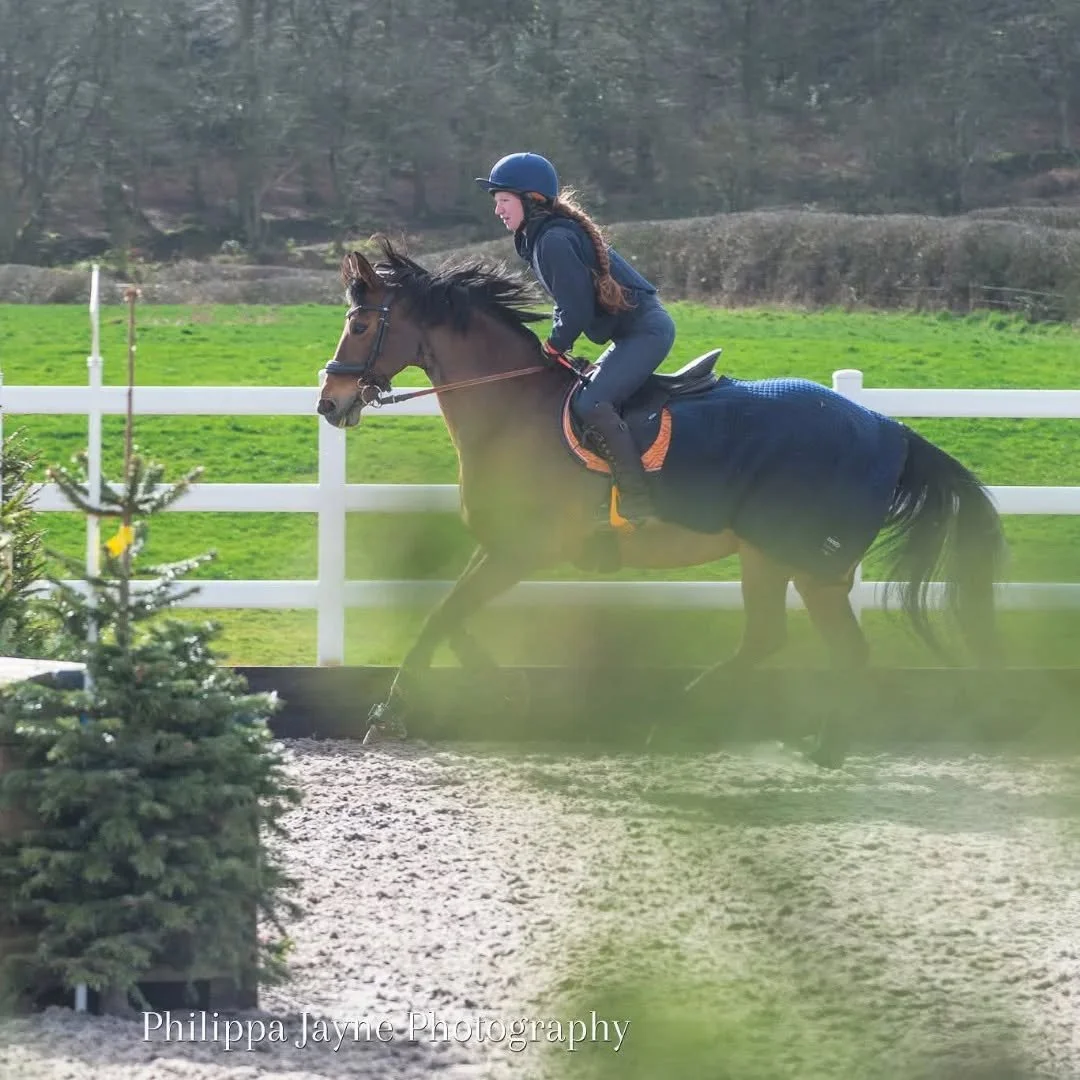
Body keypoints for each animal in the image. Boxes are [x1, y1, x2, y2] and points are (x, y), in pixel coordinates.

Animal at [316, 237, 1007, 767]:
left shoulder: (521, 550)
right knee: (773, 641)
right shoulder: (499, 547)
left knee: (836, 650)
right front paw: (508, 694)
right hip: (774, 559)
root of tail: (889, 428)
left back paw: (763, 735)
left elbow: (442, 617)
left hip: (805, 563)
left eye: (359, 324)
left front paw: (388, 715)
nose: (329, 403)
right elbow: (450, 619)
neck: (512, 410)